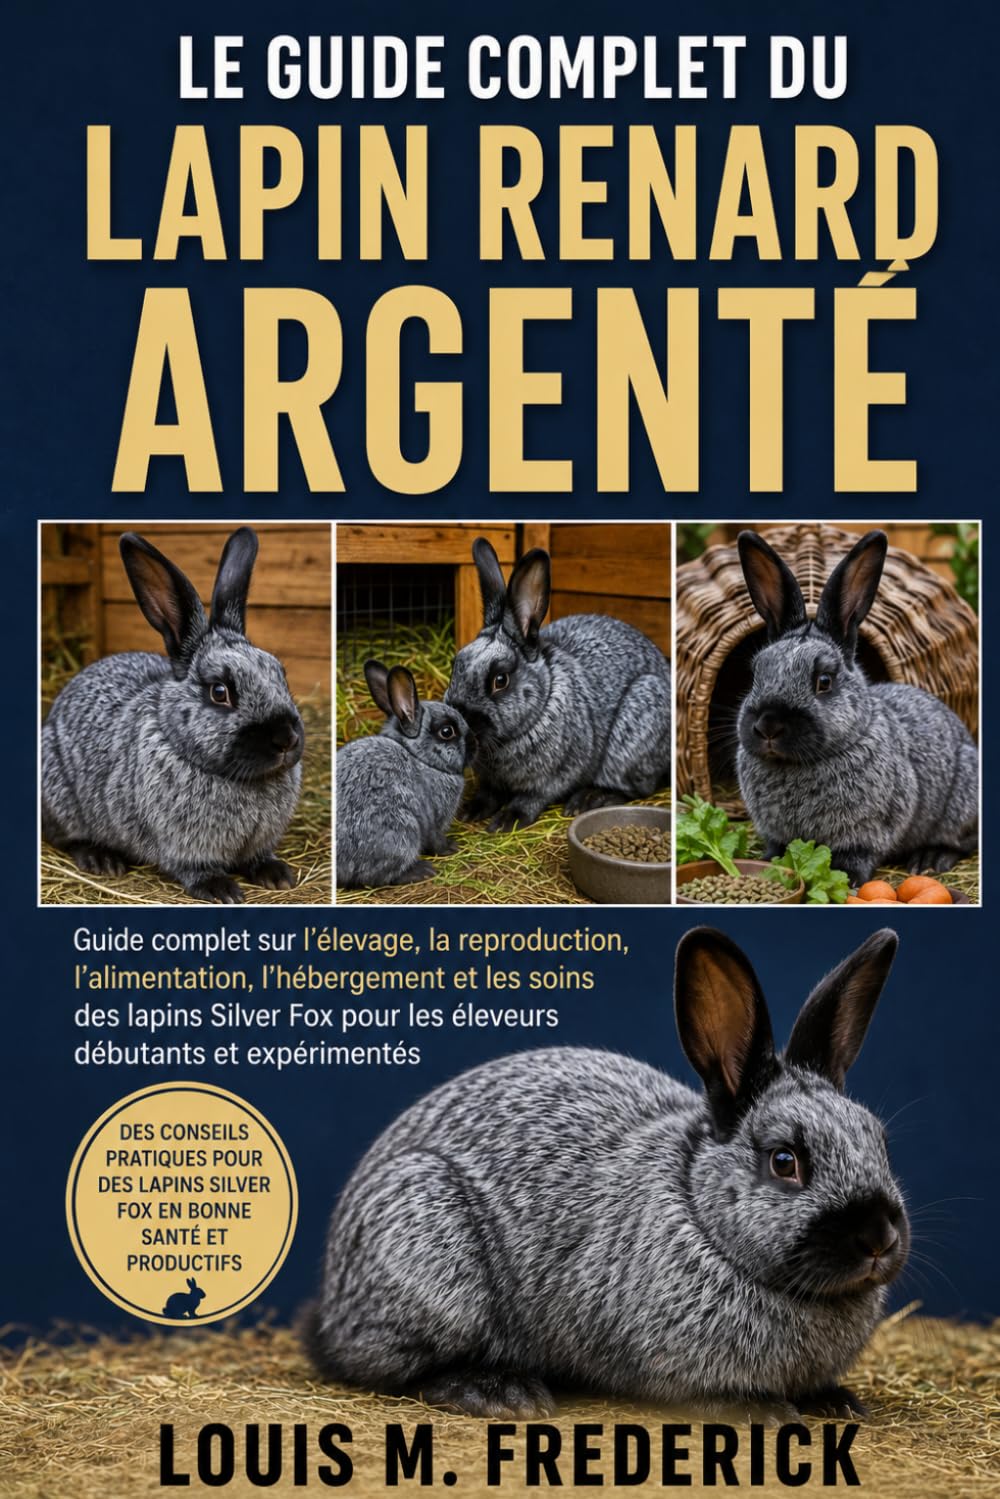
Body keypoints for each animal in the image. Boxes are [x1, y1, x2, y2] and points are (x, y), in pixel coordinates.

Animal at [42, 527, 304, 904]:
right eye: (220, 692)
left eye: (280, 673)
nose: (286, 739)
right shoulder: (181, 844)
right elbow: (194, 869)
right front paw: (222, 890)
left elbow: (258, 856)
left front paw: (277, 875)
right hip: (61, 798)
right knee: (65, 837)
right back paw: (101, 859)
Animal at [305, 926, 908, 1420]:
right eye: (785, 1161)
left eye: (880, 1141)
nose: (878, 1238)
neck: (699, 1211)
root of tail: (334, 1294)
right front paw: (763, 1411)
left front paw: (837, 1402)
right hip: (429, 1254)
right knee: (393, 1369)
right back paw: (499, 1393)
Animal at [336, 661, 470, 888]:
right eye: (446, 731)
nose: (475, 744)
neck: (419, 757)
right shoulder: (432, 816)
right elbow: (435, 838)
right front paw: (450, 847)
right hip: (402, 832)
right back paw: (422, 871)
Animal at [444, 538, 671, 831]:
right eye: (455, 664)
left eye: (500, 680)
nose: (459, 720)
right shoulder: (490, 781)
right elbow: (488, 793)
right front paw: (470, 811)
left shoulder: (555, 776)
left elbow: (532, 798)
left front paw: (507, 820)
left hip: (636, 731)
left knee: (637, 788)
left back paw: (589, 799)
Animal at [735, 529, 978, 886]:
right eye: (755, 672)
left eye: (824, 681)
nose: (768, 726)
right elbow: (777, 849)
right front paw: (769, 864)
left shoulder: (870, 830)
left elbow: (858, 855)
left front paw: (847, 879)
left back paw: (930, 859)